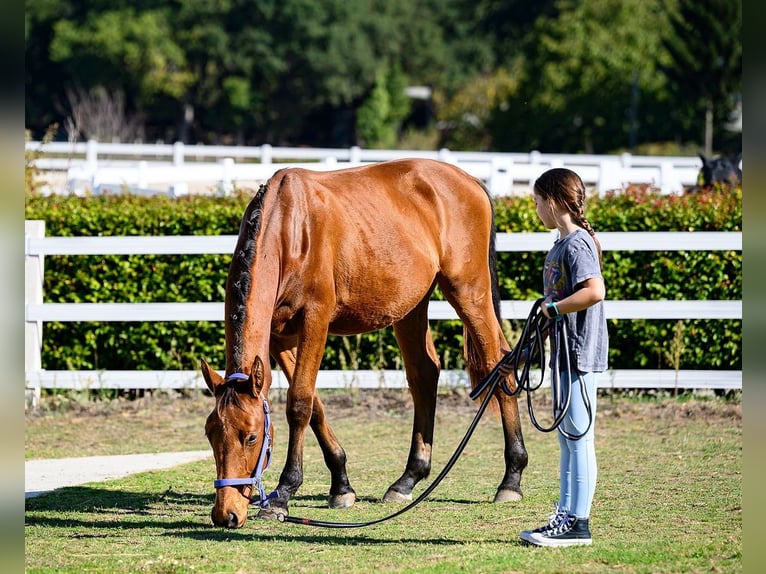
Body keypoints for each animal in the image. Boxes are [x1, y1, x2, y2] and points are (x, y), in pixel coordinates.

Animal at [201, 158, 528, 528]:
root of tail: (470, 180)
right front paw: (341, 485)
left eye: (252, 436)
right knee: (424, 373)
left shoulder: (315, 321)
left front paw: (283, 493)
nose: (226, 514)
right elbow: (314, 405)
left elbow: (299, 403)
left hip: (469, 292)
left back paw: (511, 478)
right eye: (211, 433)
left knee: (497, 362)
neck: (289, 228)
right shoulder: (280, 337)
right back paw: (408, 478)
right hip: (411, 306)